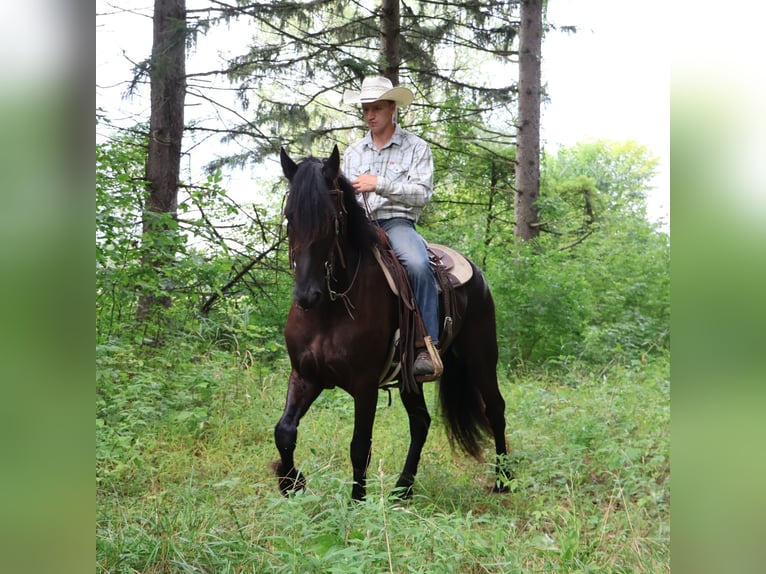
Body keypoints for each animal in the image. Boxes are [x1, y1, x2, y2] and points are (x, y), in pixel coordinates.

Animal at [274, 144, 511, 500]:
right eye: (290, 217)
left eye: (331, 219)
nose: (306, 295)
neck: (330, 309)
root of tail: (475, 272)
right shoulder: (305, 376)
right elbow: (284, 431)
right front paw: (292, 483)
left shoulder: (365, 385)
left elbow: (360, 446)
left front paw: (356, 504)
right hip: (412, 378)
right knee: (421, 422)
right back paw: (403, 488)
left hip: (480, 357)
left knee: (495, 409)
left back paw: (503, 481)